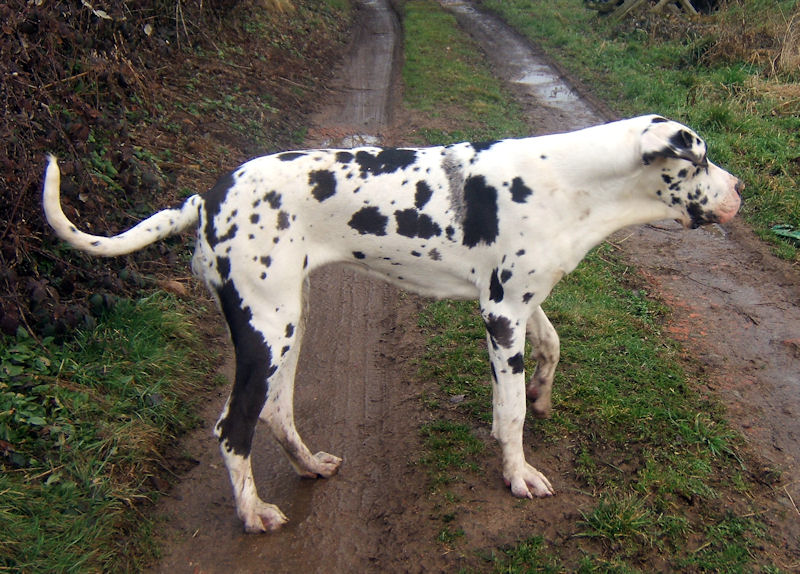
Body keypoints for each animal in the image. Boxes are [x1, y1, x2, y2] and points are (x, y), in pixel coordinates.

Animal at [43, 117, 740, 536]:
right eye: (700, 161)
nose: (741, 192)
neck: (569, 179)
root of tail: (206, 199)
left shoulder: (520, 302)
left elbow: (550, 349)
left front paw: (541, 395)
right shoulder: (501, 314)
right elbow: (510, 410)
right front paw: (517, 473)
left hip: (289, 324)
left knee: (276, 410)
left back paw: (309, 466)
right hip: (267, 330)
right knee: (232, 426)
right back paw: (254, 512)